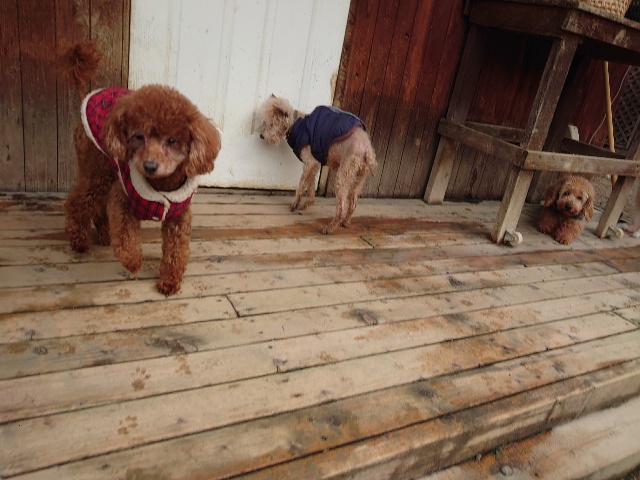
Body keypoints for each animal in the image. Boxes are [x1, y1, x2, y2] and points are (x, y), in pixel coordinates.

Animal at [58, 41, 221, 295]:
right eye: (138, 136)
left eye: (172, 140)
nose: (150, 165)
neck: (162, 186)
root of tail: (87, 95)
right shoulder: (122, 198)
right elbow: (126, 239)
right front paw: (134, 263)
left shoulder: (179, 216)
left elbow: (176, 251)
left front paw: (169, 282)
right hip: (96, 169)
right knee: (77, 201)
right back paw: (79, 241)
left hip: (106, 173)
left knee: (97, 204)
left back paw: (103, 234)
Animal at [258, 95, 376, 234]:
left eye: (271, 124)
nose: (261, 136)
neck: (296, 124)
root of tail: (367, 150)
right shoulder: (314, 165)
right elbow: (310, 187)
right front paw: (305, 204)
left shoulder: (310, 163)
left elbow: (301, 186)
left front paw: (294, 205)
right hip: (358, 178)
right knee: (353, 203)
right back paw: (346, 223)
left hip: (342, 177)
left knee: (341, 208)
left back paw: (329, 228)